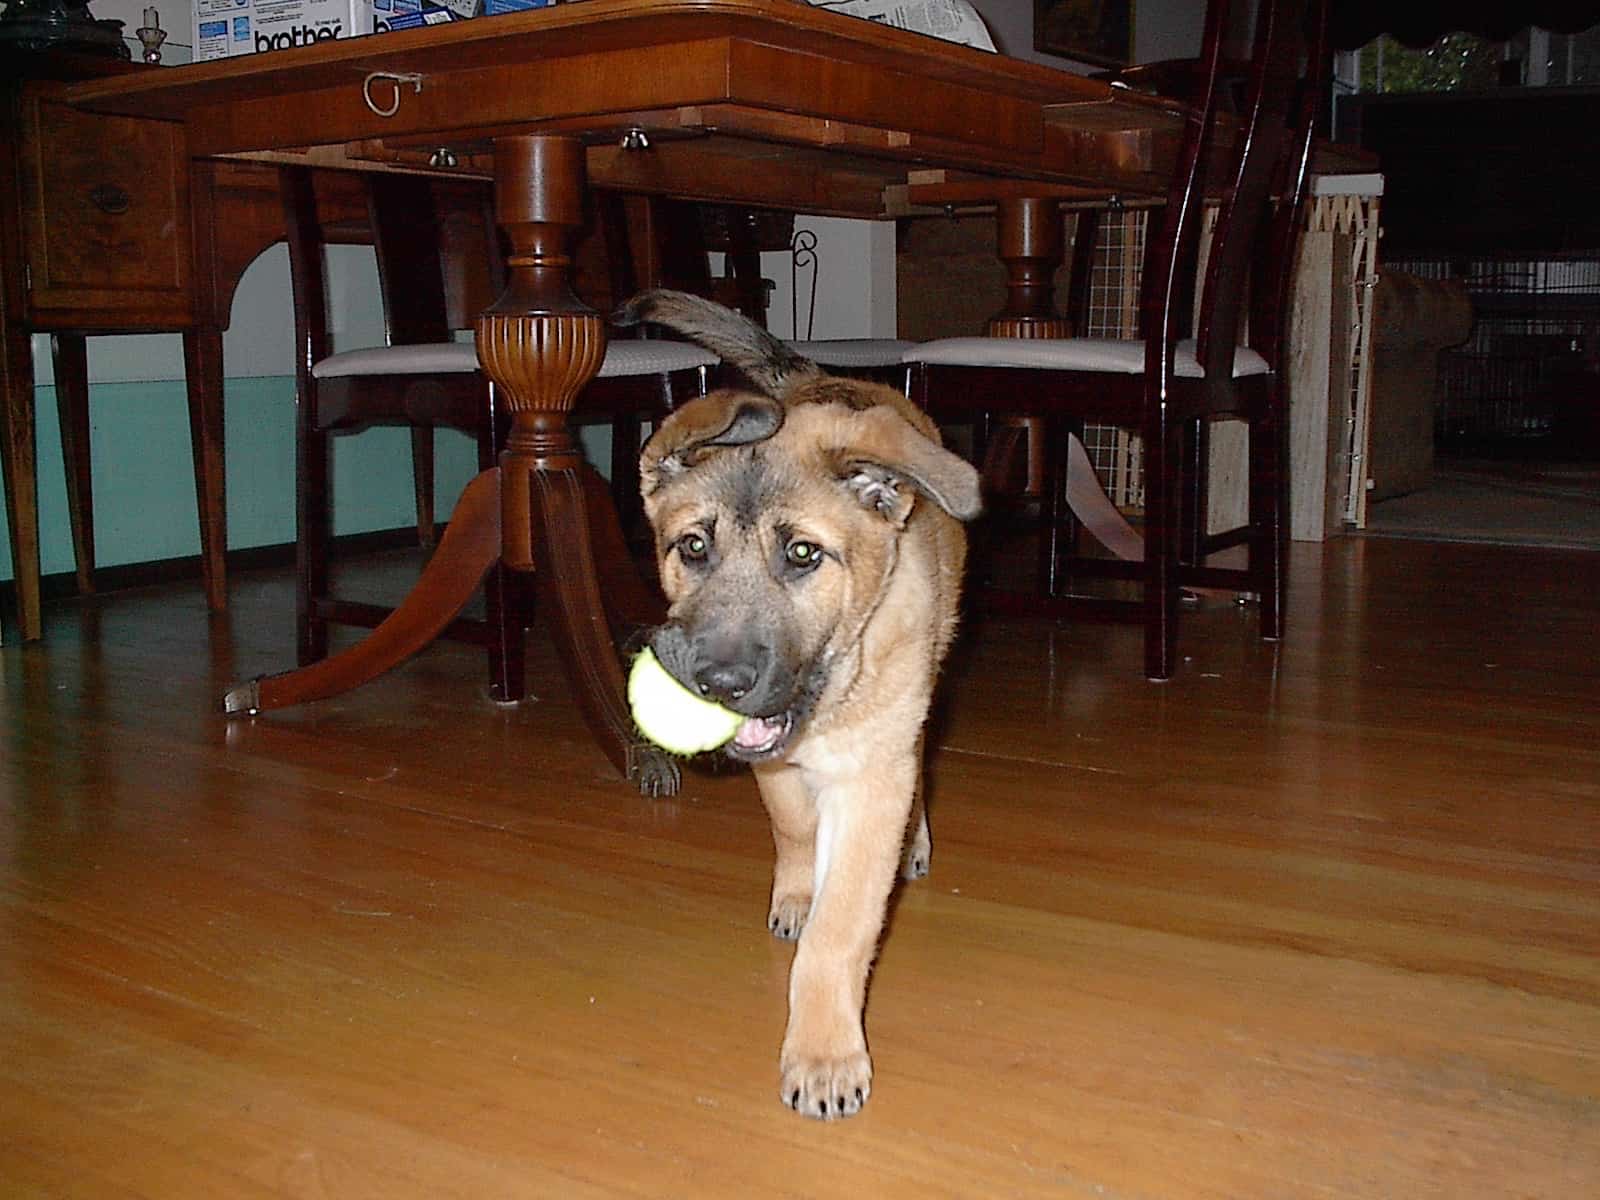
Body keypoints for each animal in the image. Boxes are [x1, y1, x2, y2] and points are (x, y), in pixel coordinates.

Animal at [617, 289, 979, 1120]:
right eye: (692, 547)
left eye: (804, 554)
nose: (717, 683)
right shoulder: (776, 762)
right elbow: (793, 828)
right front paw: (798, 889)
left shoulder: (874, 775)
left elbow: (838, 933)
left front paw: (823, 1056)